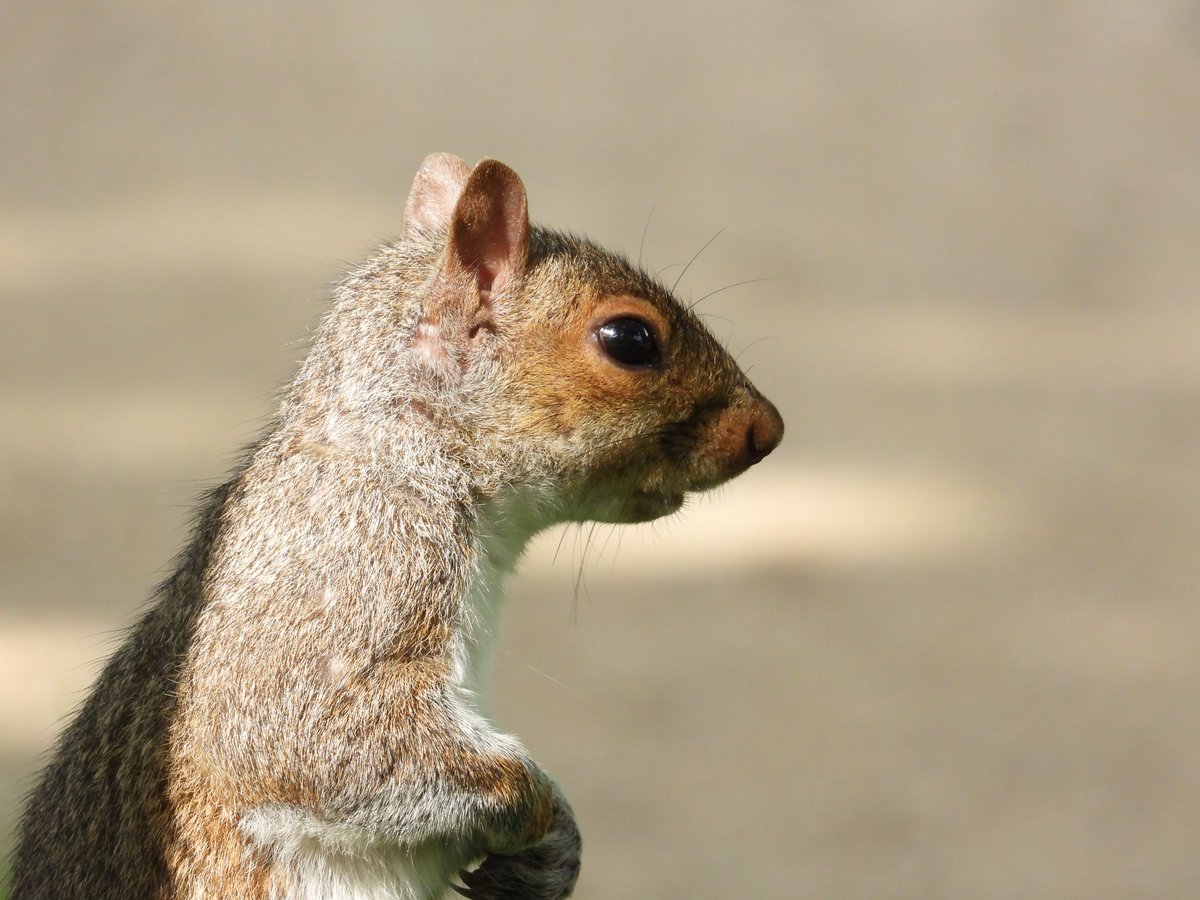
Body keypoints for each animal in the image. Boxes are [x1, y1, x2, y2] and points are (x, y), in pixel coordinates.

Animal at [10, 153, 783, 900]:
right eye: (630, 338)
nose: (768, 431)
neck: (399, 444)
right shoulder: (353, 560)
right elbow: (307, 733)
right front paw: (536, 806)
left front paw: (556, 847)